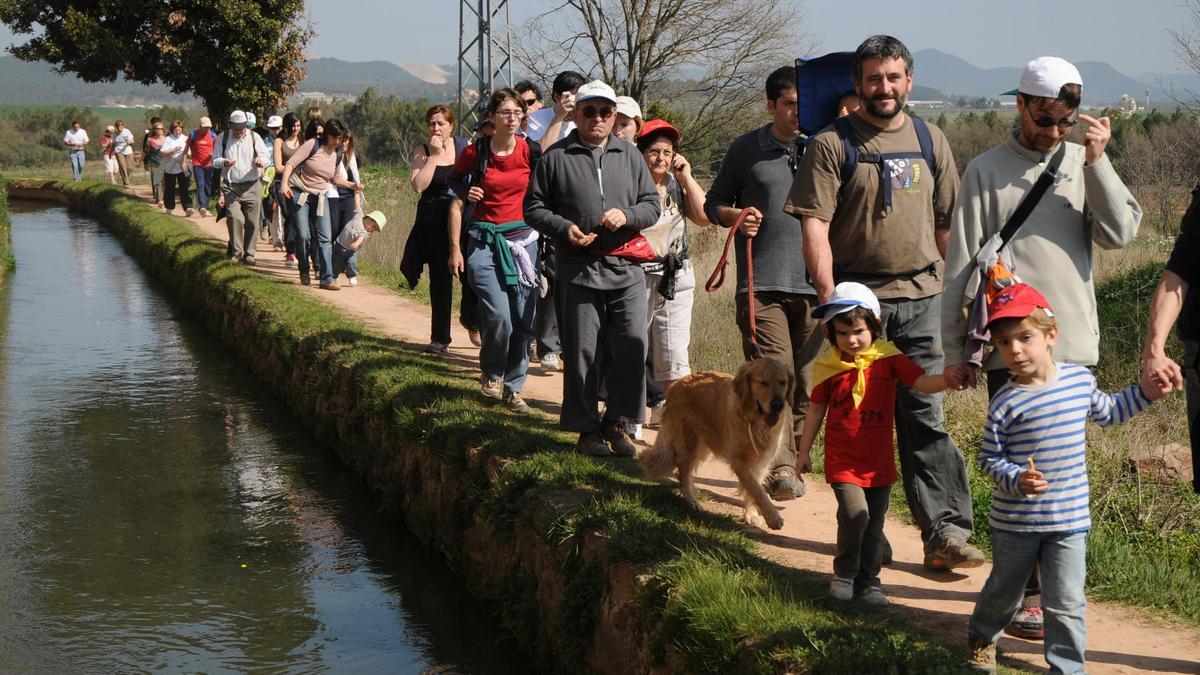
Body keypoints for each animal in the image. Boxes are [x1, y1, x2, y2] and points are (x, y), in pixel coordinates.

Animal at [638, 355, 796, 528]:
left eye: (783, 382)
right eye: (763, 382)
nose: (778, 404)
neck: (754, 420)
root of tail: (677, 383)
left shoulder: (762, 461)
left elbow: (753, 490)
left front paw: (752, 515)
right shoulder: (739, 461)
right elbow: (756, 489)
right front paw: (773, 517)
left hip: (700, 448)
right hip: (689, 444)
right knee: (683, 474)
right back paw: (692, 501)